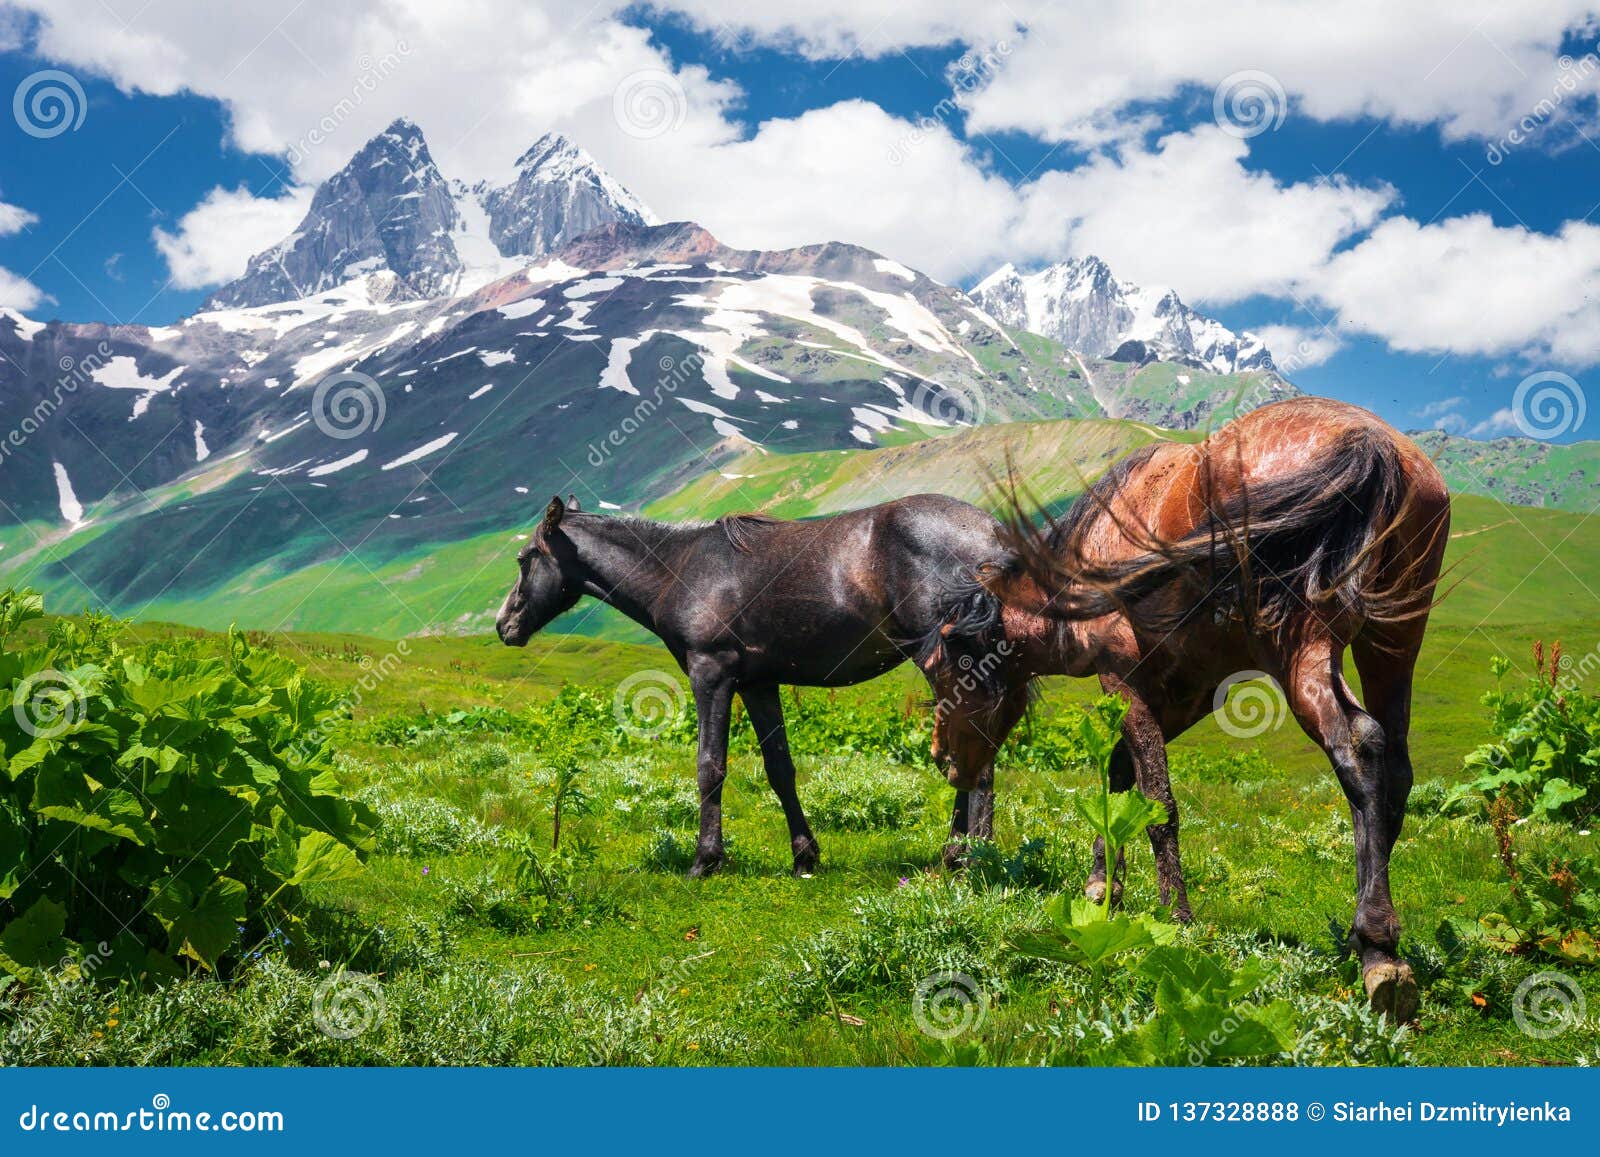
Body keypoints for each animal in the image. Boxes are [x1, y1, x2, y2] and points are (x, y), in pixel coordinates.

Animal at [495, 494, 1031, 878]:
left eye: (524, 558)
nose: (504, 625)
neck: (681, 568)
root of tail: (992, 534)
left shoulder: (711, 675)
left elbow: (710, 766)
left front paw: (705, 859)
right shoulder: (758, 684)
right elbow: (780, 770)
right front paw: (804, 856)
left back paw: (969, 860)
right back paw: (955, 854)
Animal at [946, 397, 1450, 1022]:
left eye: (952, 656)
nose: (946, 757)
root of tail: (1370, 441)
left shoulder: (1126, 680)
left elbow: (1156, 802)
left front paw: (1174, 917)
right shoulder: (1189, 693)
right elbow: (1126, 779)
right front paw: (1103, 886)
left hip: (1304, 646)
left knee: (1357, 746)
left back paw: (1378, 948)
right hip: (1392, 642)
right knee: (1393, 768)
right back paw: (1370, 939)